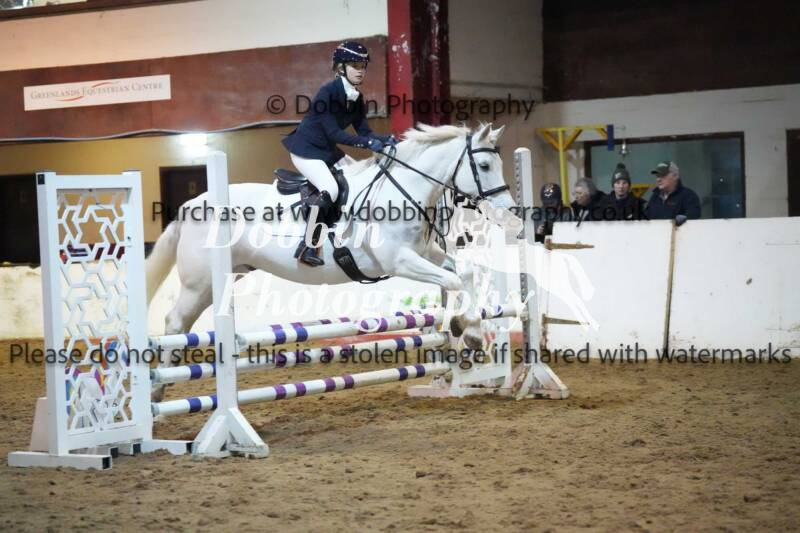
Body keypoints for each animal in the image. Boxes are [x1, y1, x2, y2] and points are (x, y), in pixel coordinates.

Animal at [146, 123, 515, 401]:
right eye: (484, 166)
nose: (508, 210)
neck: (401, 191)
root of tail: (191, 204)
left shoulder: (424, 254)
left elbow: (464, 271)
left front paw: (468, 331)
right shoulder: (399, 261)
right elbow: (452, 281)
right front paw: (468, 332)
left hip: (220, 279)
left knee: (183, 325)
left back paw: (165, 385)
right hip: (200, 282)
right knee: (175, 323)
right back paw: (158, 390)